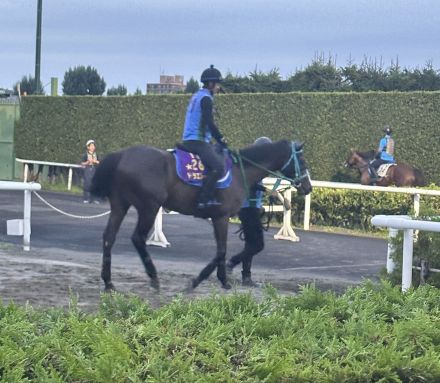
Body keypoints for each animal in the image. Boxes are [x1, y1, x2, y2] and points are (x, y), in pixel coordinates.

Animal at [91, 140, 312, 292]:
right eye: (302, 160)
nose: (308, 187)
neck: (239, 172)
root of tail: (122, 155)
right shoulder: (221, 217)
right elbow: (221, 251)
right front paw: (203, 280)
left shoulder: (219, 218)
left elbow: (222, 251)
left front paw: (222, 280)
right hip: (149, 207)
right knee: (137, 238)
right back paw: (153, 277)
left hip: (120, 205)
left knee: (108, 237)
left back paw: (109, 282)